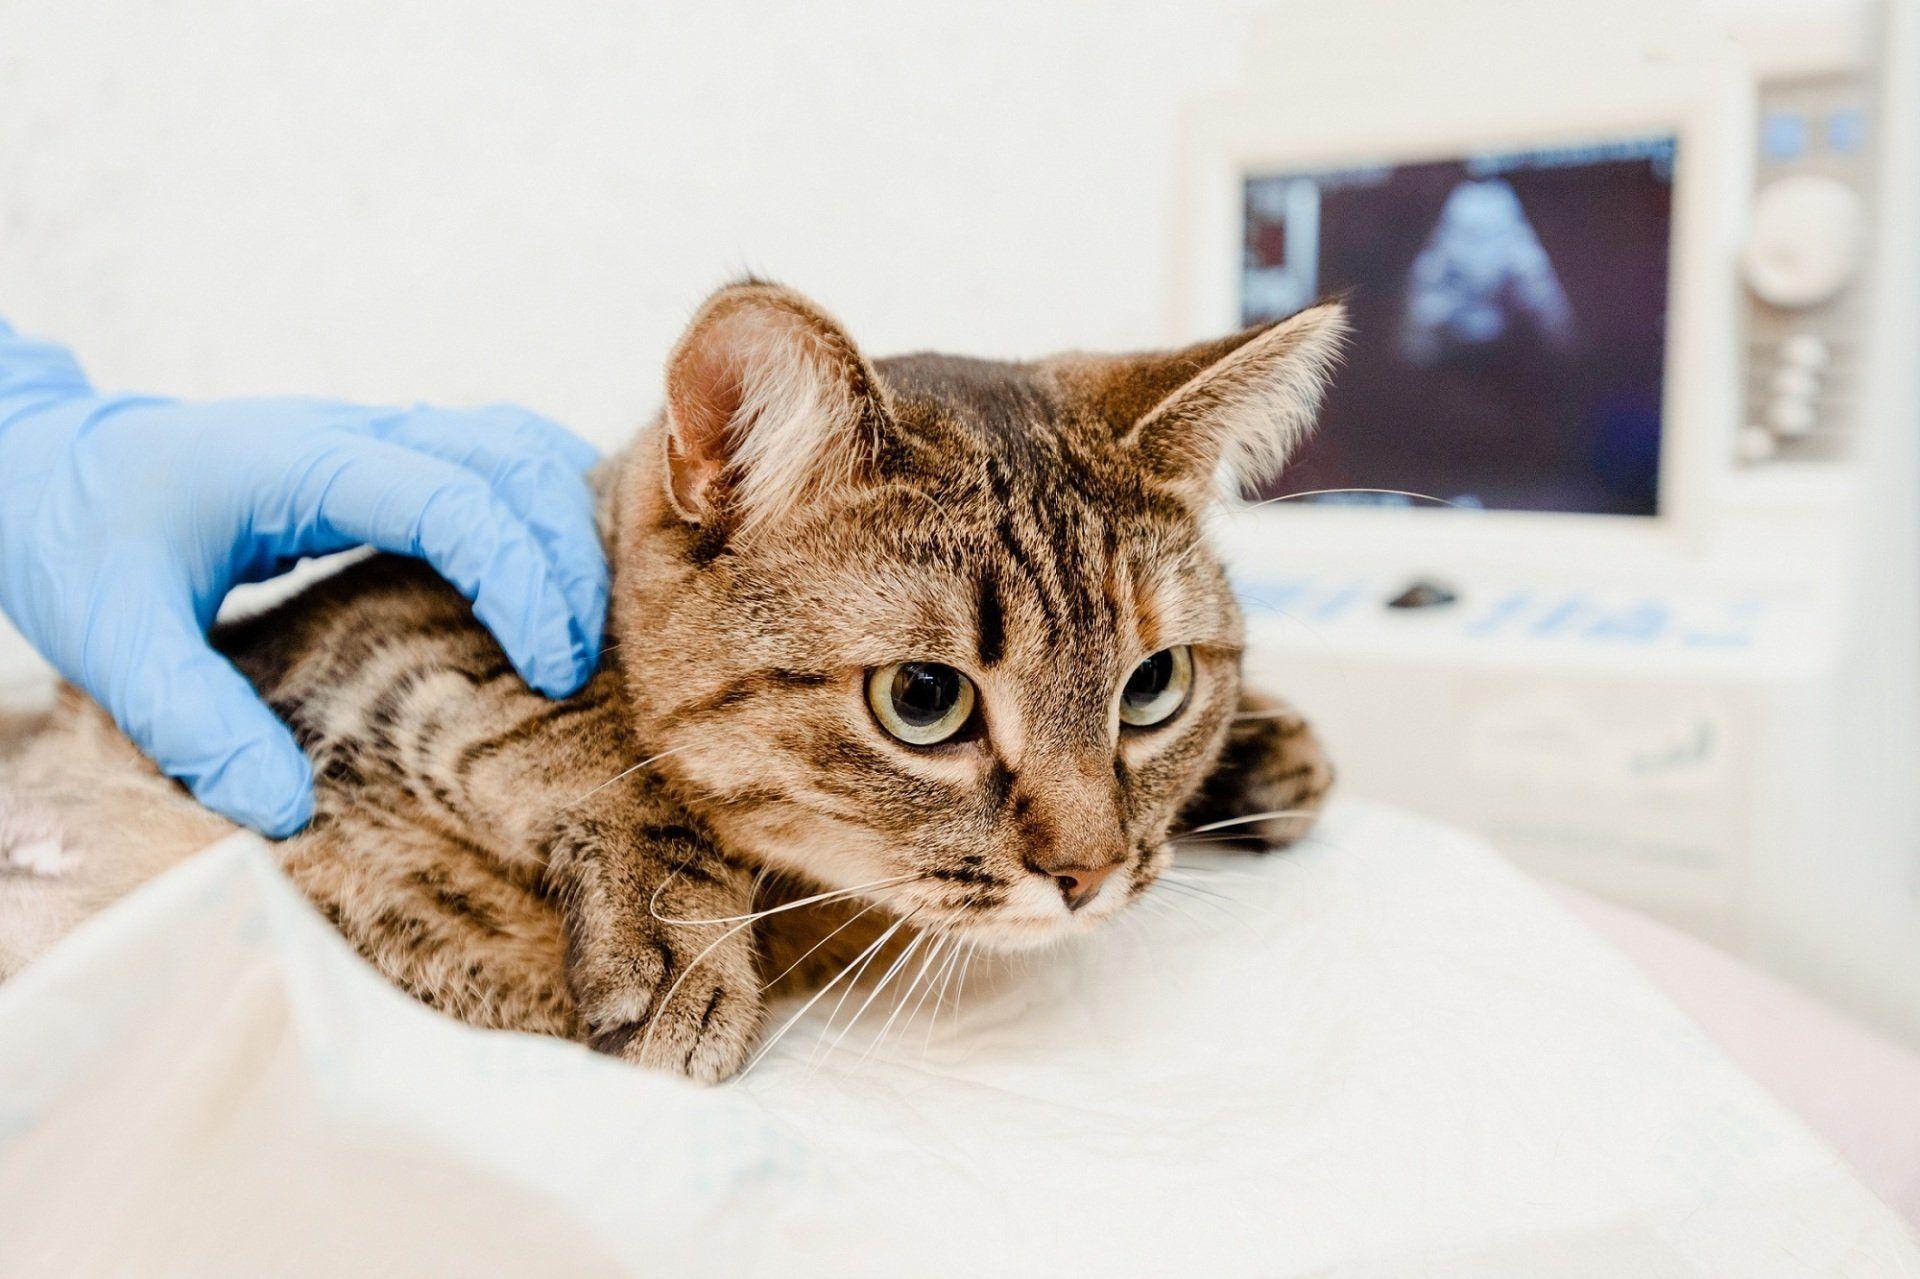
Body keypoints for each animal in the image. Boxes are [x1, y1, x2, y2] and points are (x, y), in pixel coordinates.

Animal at [0, 280, 1343, 1082]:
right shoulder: (360, 656)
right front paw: (679, 950)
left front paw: (1260, 748)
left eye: (1154, 685)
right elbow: (575, 724)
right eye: (924, 700)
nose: (1093, 873)